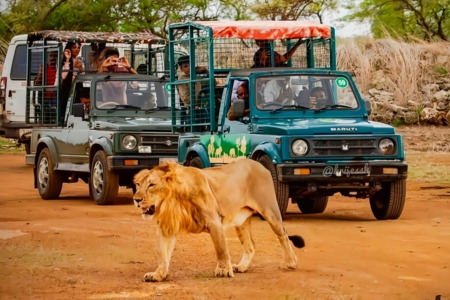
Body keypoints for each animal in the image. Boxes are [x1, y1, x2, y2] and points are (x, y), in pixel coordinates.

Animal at [132, 158, 304, 282]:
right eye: (138, 184)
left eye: (151, 185)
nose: (136, 199)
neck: (171, 200)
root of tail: (260, 165)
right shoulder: (167, 227)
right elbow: (162, 254)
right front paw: (158, 274)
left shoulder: (214, 221)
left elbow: (221, 249)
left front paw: (223, 270)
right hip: (241, 221)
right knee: (251, 245)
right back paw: (241, 266)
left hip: (270, 210)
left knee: (283, 234)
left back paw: (291, 262)